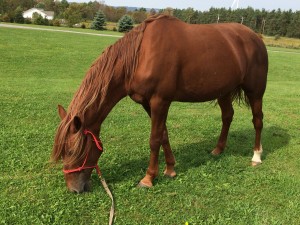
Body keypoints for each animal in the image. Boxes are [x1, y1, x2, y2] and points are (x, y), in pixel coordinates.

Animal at [51, 14, 268, 192]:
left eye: (73, 151)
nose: (74, 189)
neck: (140, 55)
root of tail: (255, 37)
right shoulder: (147, 103)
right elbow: (163, 134)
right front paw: (170, 169)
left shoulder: (160, 101)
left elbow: (154, 139)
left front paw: (148, 179)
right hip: (223, 91)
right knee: (227, 116)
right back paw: (218, 149)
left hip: (255, 91)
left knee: (257, 120)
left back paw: (256, 156)